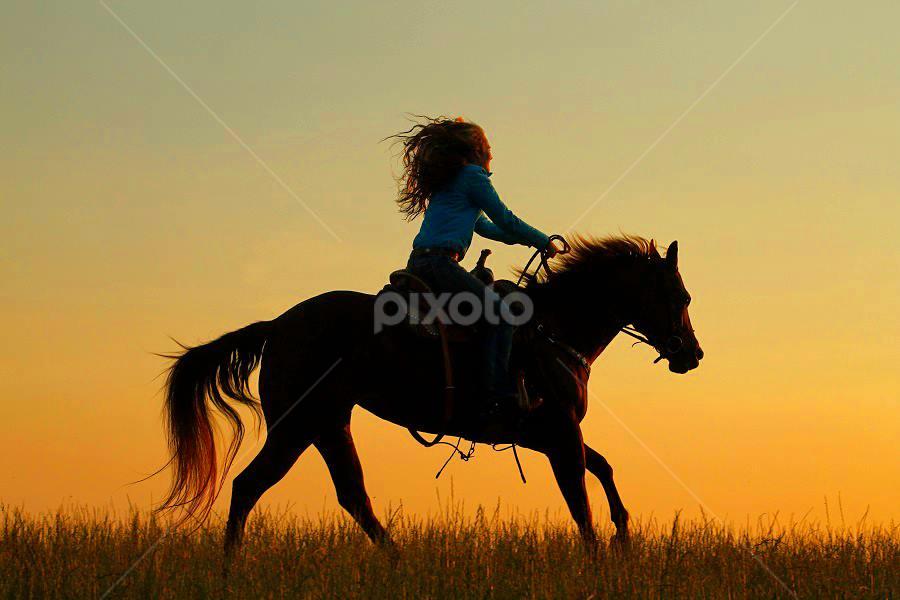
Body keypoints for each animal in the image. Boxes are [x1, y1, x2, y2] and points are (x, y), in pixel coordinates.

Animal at [158, 234, 703, 557]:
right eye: (681, 296)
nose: (692, 354)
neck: (553, 330)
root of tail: (277, 326)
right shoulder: (559, 434)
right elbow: (580, 501)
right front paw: (600, 556)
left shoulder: (548, 436)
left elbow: (603, 469)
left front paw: (624, 535)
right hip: (296, 426)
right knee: (250, 486)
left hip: (329, 423)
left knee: (351, 495)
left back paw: (396, 560)